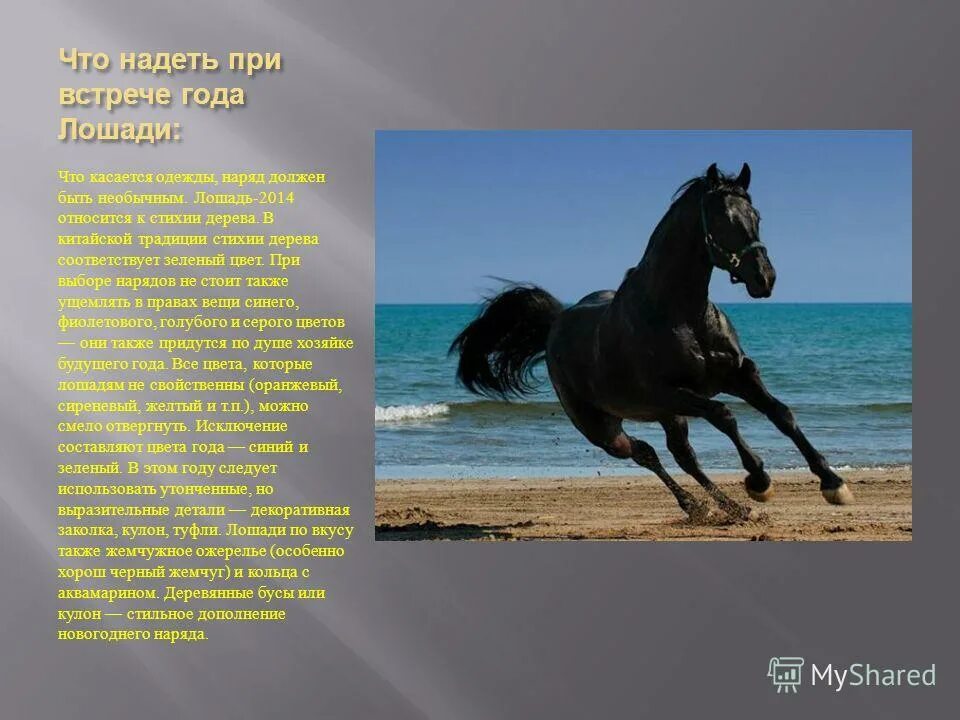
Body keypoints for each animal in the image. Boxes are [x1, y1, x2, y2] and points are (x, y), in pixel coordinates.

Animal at [449, 163, 853, 521]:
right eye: (722, 219)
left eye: (756, 215)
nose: (764, 279)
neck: (682, 314)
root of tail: (556, 324)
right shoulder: (672, 392)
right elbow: (724, 415)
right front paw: (759, 479)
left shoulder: (738, 375)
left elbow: (781, 414)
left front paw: (833, 484)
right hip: (606, 427)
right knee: (646, 454)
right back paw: (705, 507)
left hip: (667, 415)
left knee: (679, 455)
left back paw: (727, 509)